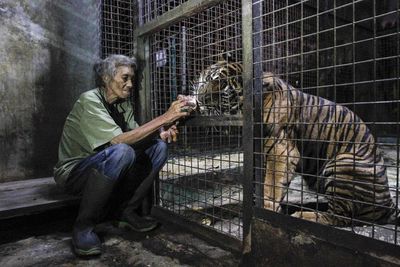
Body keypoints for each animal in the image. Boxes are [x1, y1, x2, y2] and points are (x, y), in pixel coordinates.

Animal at [192, 60, 398, 226]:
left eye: (223, 88)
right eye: (206, 79)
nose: (201, 99)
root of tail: (389, 204)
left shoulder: (281, 150)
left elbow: (271, 186)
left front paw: (266, 210)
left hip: (342, 161)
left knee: (340, 217)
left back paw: (303, 215)